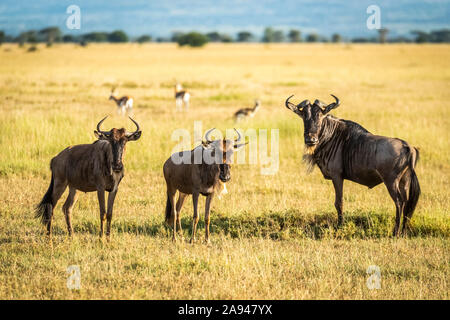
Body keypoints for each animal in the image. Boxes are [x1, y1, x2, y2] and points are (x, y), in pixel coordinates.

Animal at [286, 94, 420, 236]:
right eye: (304, 116)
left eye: (320, 116)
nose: (311, 140)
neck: (330, 136)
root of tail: (407, 146)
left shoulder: (337, 176)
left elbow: (339, 202)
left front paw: (340, 226)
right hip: (404, 181)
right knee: (407, 203)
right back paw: (403, 231)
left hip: (391, 182)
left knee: (399, 202)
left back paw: (395, 232)